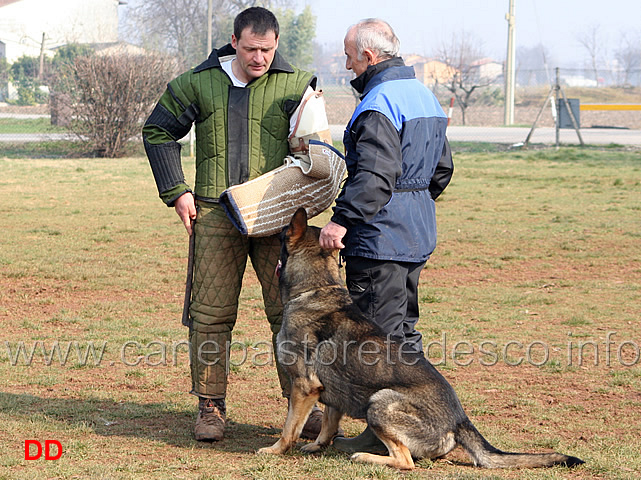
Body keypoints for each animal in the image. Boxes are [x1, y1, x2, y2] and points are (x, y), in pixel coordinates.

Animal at [256, 208, 584, 470]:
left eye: (282, 235)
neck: (317, 288)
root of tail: (459, 420)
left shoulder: (304, 387)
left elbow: (289, 428)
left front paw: (275, 450)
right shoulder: (331, 390)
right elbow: (328, 422)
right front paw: (318, 445)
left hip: (380, 402)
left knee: (406, 461)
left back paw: (365, 456)